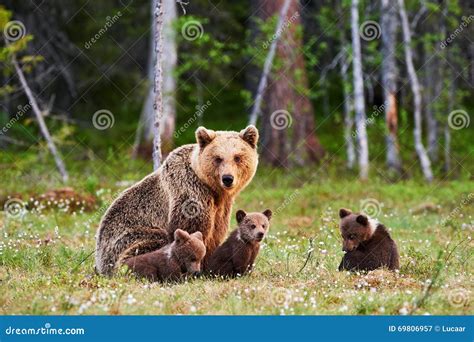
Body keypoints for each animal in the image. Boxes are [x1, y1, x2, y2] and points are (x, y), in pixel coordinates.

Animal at [95, 125, 260, 276]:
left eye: (237, 157)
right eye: (218, 158)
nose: (227, 178)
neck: (212, 189)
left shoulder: (221, 207)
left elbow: (215, 234)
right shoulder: (190, 193)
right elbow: (190, 230)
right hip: (125, 239)